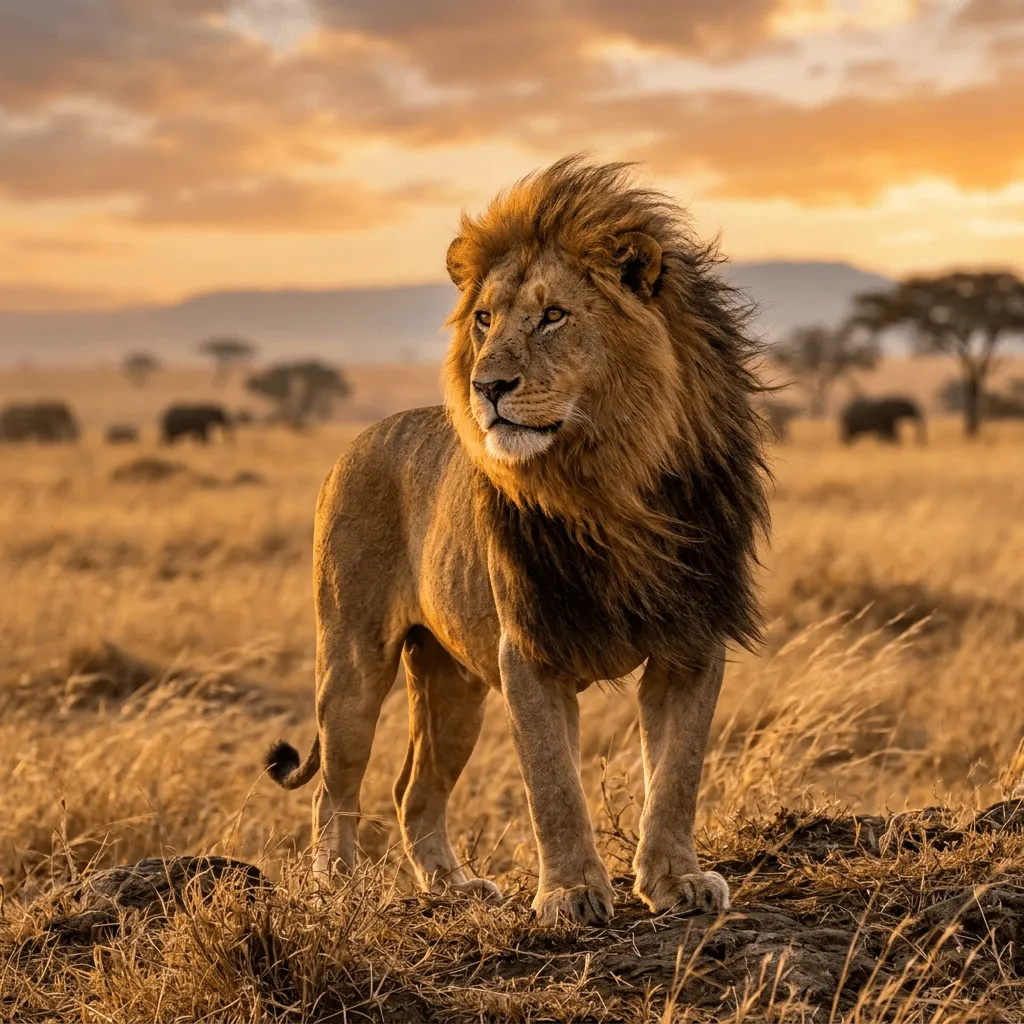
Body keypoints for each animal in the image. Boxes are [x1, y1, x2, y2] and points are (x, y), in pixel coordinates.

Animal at [265, 156, 770, 926]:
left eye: (553, 315)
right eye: (484, 319)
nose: (488, 385)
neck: (610, 481)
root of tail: (359, 439)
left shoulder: (691, 639)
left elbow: (677, 774)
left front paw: (675, 880)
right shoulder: (528, 648)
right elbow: (553, 783)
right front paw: (570, 893)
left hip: (452, 681)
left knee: (413, 791)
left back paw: (451, 886)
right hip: (351, 661)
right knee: (336, 787)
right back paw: (338, 889)